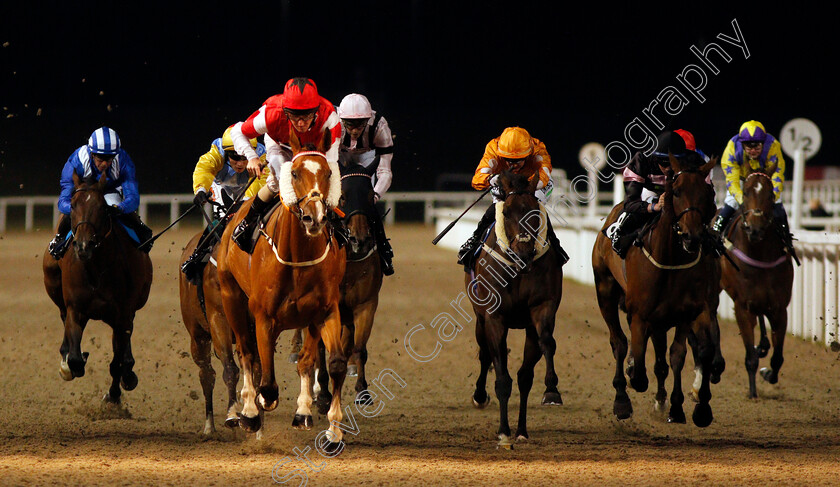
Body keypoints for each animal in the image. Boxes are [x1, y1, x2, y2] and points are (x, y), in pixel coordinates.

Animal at [42, 174, 153, 404]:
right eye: (73, 205)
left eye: (102, 208)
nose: (84, 246)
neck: (96, 268)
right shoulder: (76, 309)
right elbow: (75, 357)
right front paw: (73, 362)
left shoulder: (123, 314)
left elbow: (117, 362)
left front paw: (114, 394)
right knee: (62, 316)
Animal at [218, 127, 350, 448]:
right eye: (294, 172)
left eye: (329, 173)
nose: (315, 217)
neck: (297, 257)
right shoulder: (263, 316)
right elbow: (266, 381)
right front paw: (254, 409)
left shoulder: (325, 311)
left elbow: (332, 363)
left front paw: (332, 430)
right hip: (232, 298)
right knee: (247, 353)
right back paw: (250, 411)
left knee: (302, 360)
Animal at [466, 172, 564, 450]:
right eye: (507, 212)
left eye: (534, 211)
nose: (523, 251)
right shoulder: (494, 317)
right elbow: (501, 377)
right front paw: (503, 432)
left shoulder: (542, 309)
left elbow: (546, 344)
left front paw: (551, 391)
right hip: (480, 320)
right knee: (485, 355)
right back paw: (480, 396)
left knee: (524, 376)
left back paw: (522, 428)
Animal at [592, 155, 720, 428]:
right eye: (677, 191)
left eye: (707, 193)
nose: (692, 236)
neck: (669, 258)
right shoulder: (640, 314)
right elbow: (639, 370)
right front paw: (632, 374)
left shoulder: (688, 311)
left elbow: (681, 355)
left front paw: (686, 408)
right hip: (605, 290)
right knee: (618, 342)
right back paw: (622, 400)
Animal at [720, 162, 792, 398]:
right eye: (746, 193)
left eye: (770, 194)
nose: (755, 229)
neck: (759, 253)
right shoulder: (743, 307)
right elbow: (750, 357)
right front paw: (752, 392)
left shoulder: (779, 307)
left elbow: (778, 357)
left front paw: (768, 373)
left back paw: (763, 345)